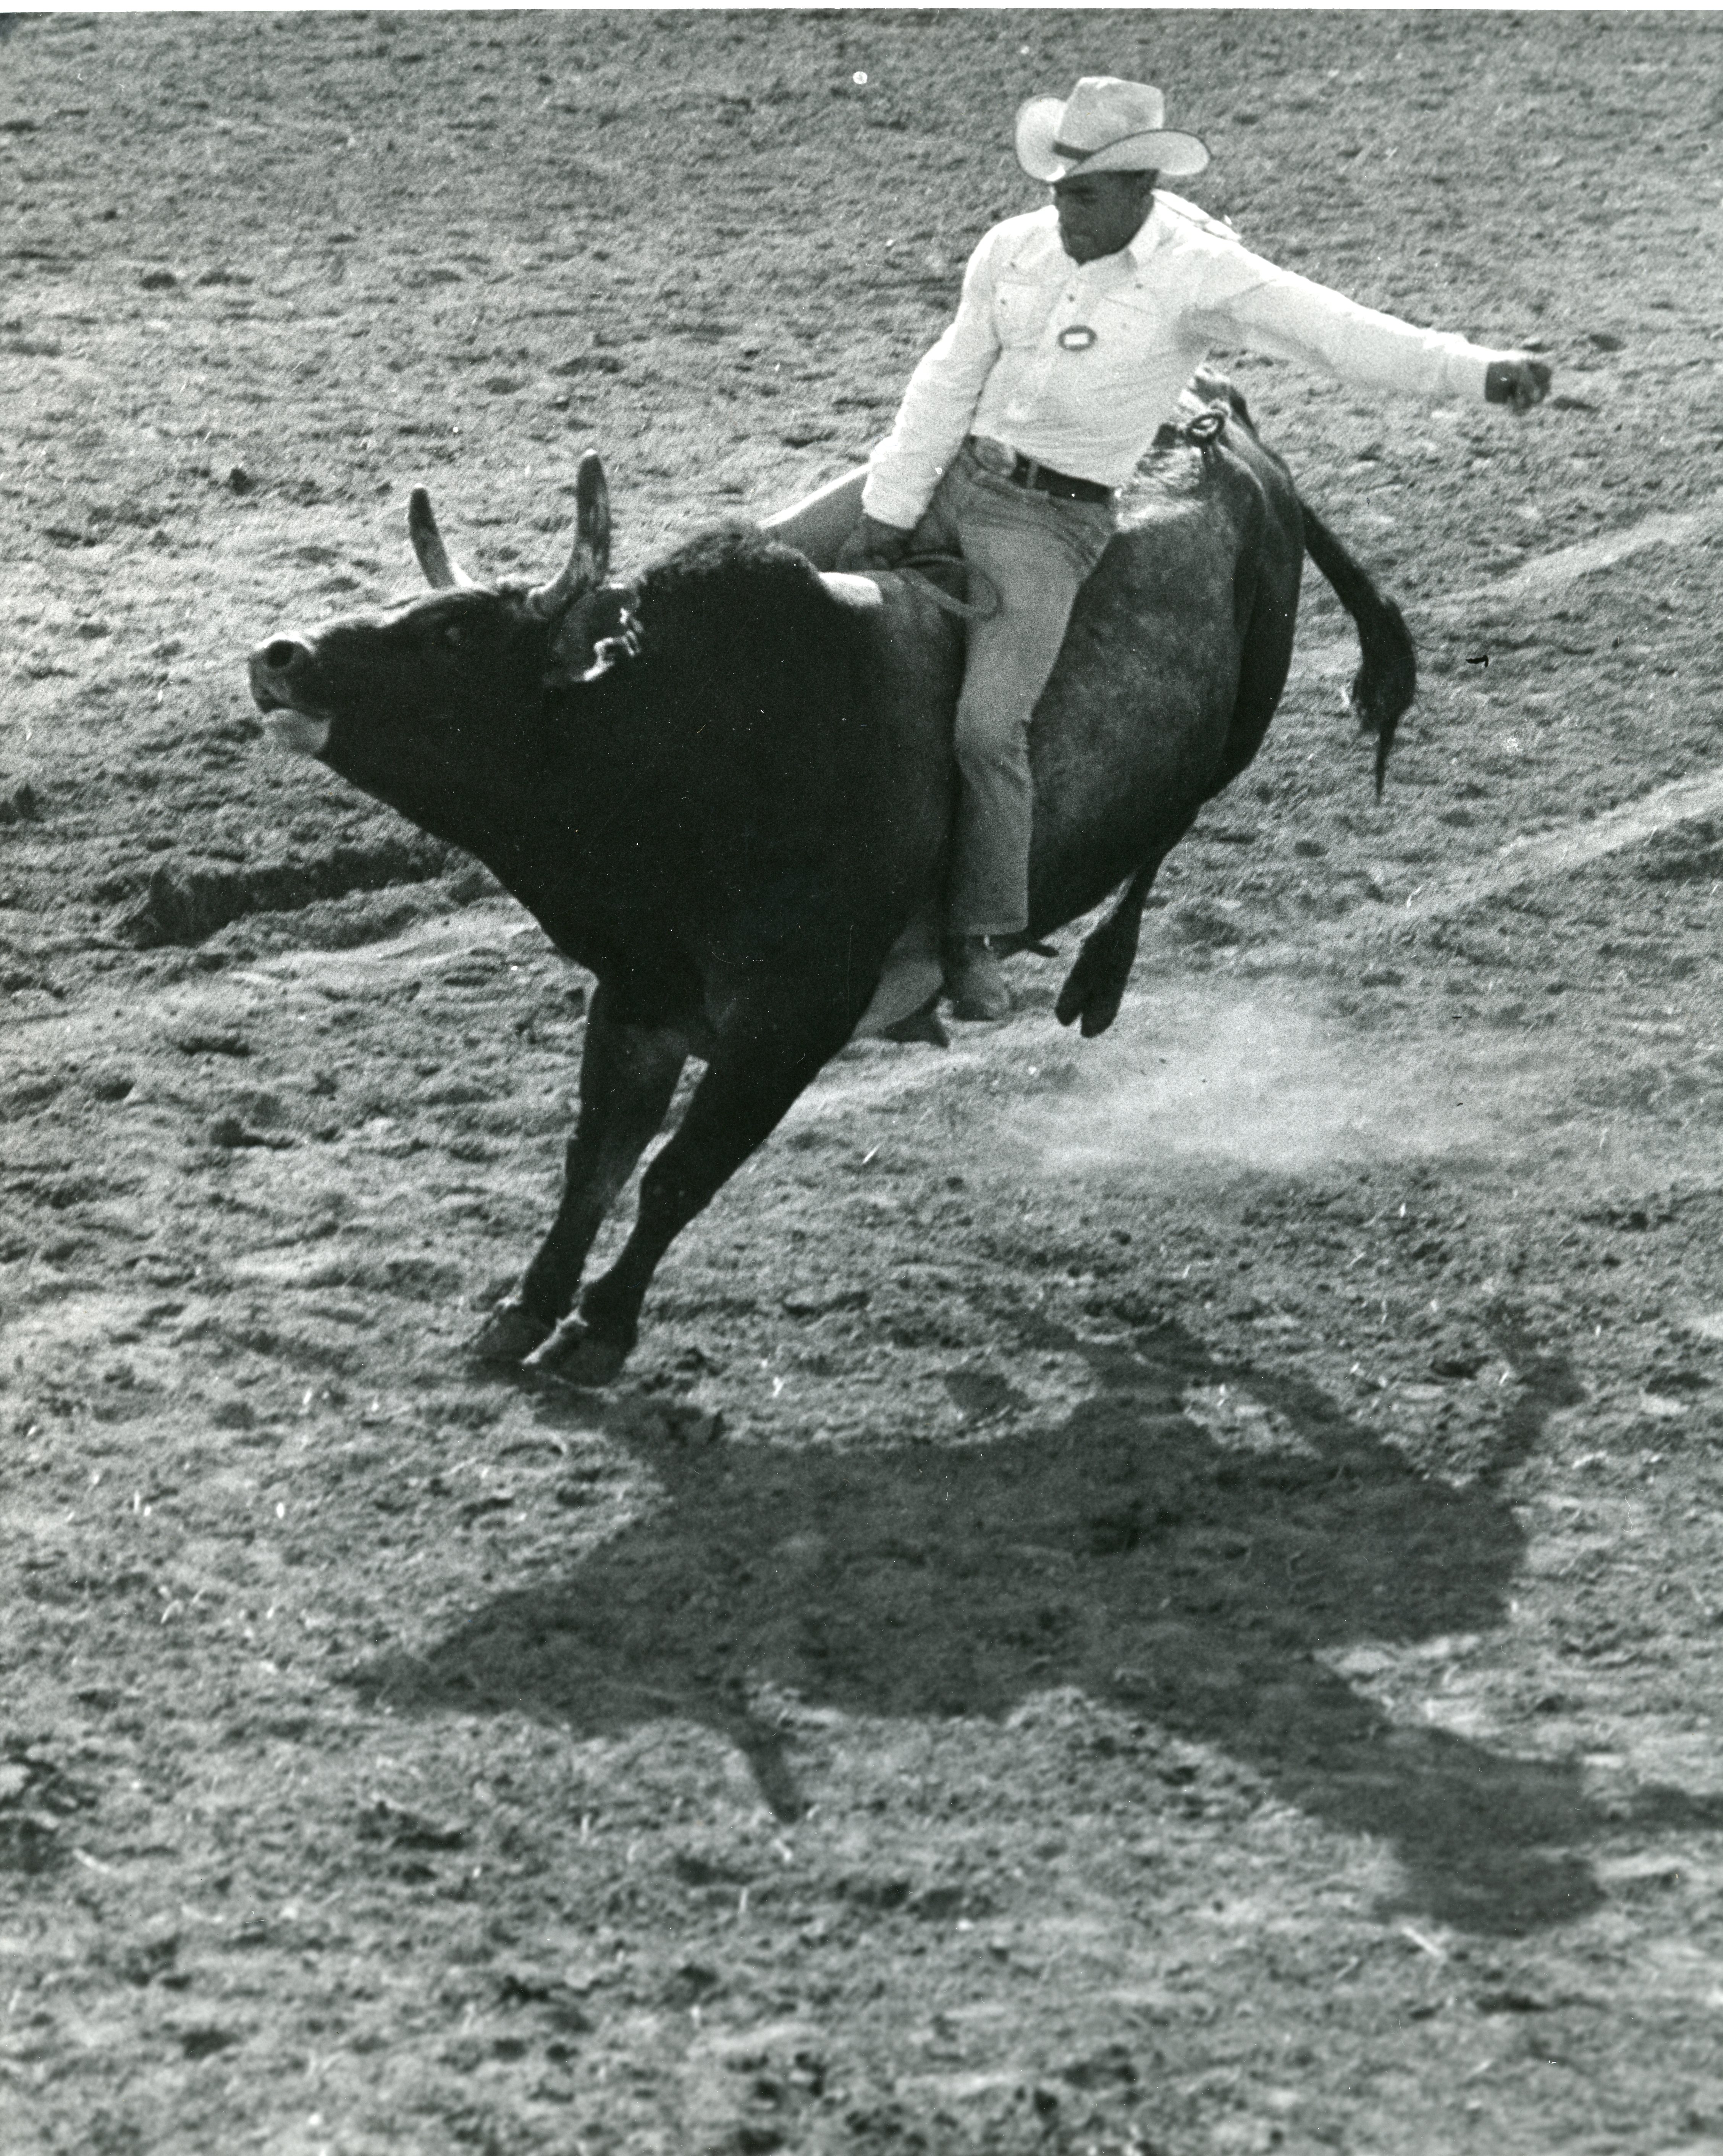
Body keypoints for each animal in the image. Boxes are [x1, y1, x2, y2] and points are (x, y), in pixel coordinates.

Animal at [248, 383, 1414, 1387]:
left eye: (454, 632)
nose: (280, 653)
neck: (686, 742)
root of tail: (1231, 435)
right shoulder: (640, 993)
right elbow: (599, 1158)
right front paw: (527, 1306)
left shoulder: (796, 1016)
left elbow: (681, 1168)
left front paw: (601, 1326)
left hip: (1245, 707)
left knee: (1174, 822)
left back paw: (1095, 976)